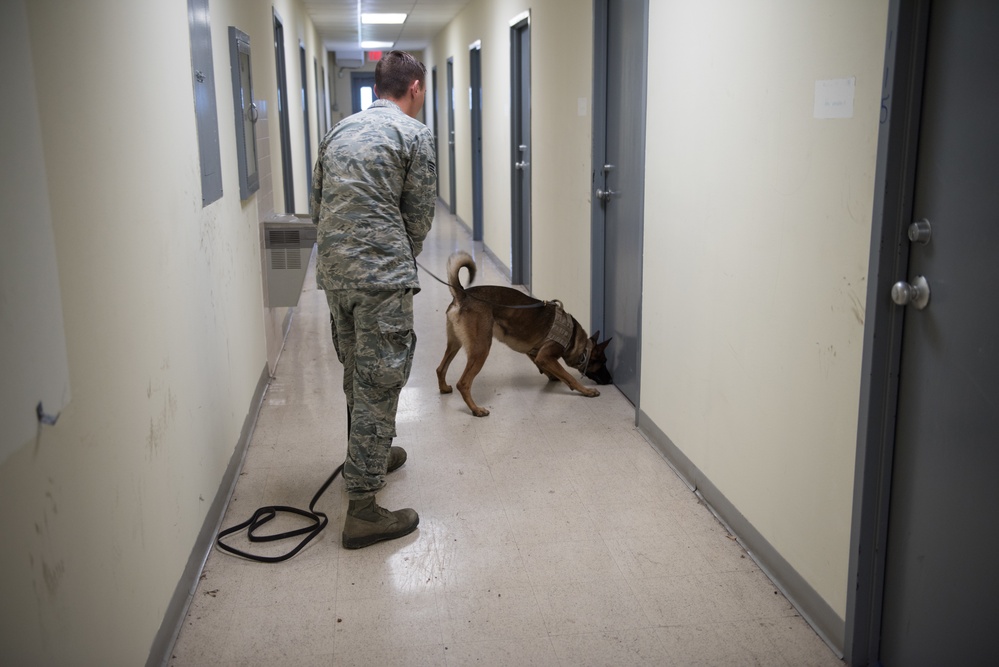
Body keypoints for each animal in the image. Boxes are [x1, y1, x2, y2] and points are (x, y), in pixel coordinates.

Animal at [436, 252, 612, 418]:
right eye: (603, 362)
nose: (611, 380)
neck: (573, 337)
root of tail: (462, 295)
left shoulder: (535, 354)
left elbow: (553, 371)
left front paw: (553, 376)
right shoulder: (545, 356)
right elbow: (570, 377)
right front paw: (586, 391)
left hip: (455, 344)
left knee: (440, 369)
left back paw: (444, 388)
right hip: (481, 350)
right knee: (463, 383)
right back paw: (476, 409)